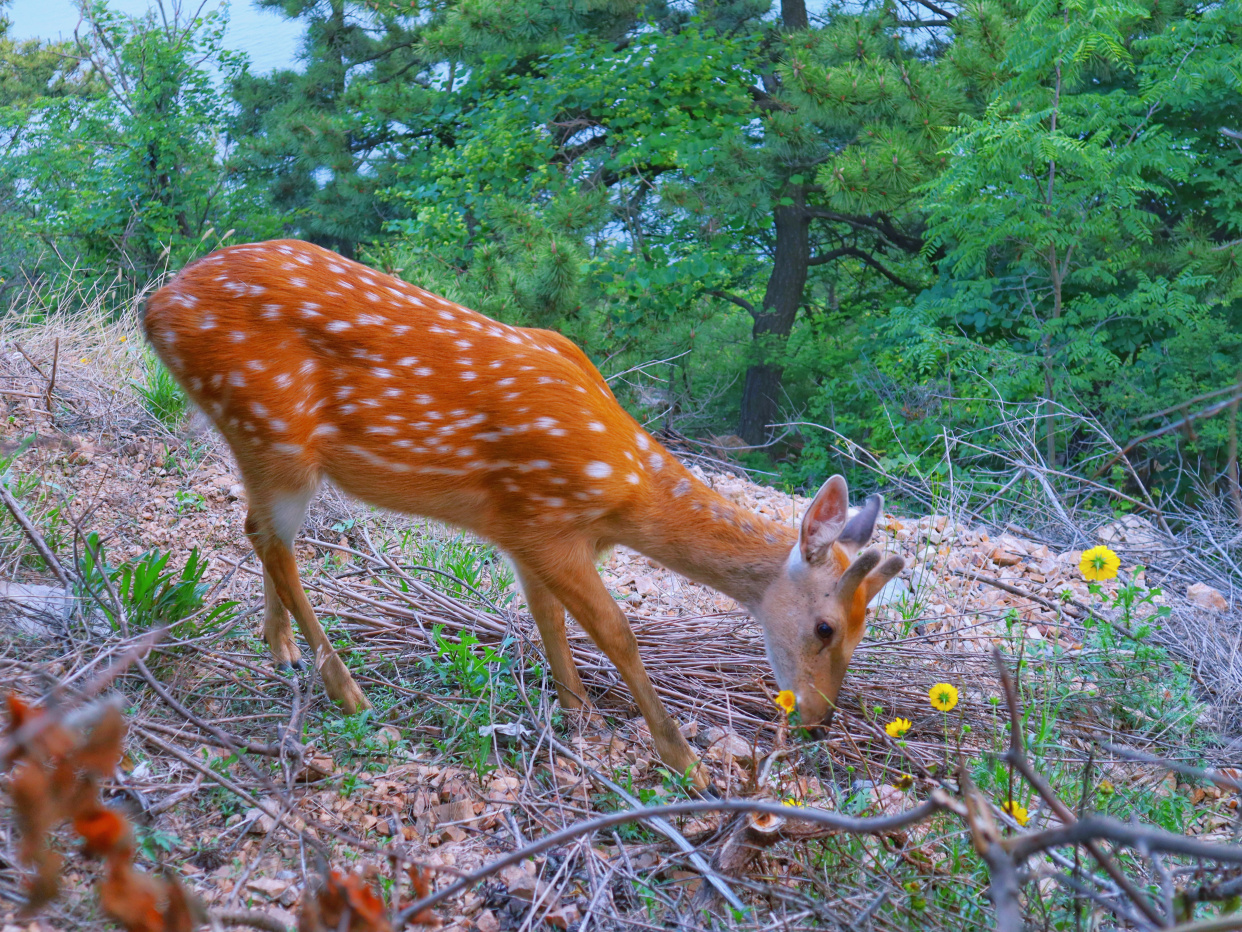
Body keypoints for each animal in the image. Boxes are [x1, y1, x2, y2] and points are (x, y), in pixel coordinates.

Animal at [142, 241, 904, 795]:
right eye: (825, 626)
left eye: (864, 629)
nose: (817, 718)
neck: (622, 493)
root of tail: (157, 308)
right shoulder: (544, 522)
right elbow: (617, 632)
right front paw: (681, 758)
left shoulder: (526, 535)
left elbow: (550, 623)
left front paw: (578, 715)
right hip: (270, 427)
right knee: (269, 538)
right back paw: (348, 691)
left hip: (258, 437)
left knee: (265, 537)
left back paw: (283, 651)